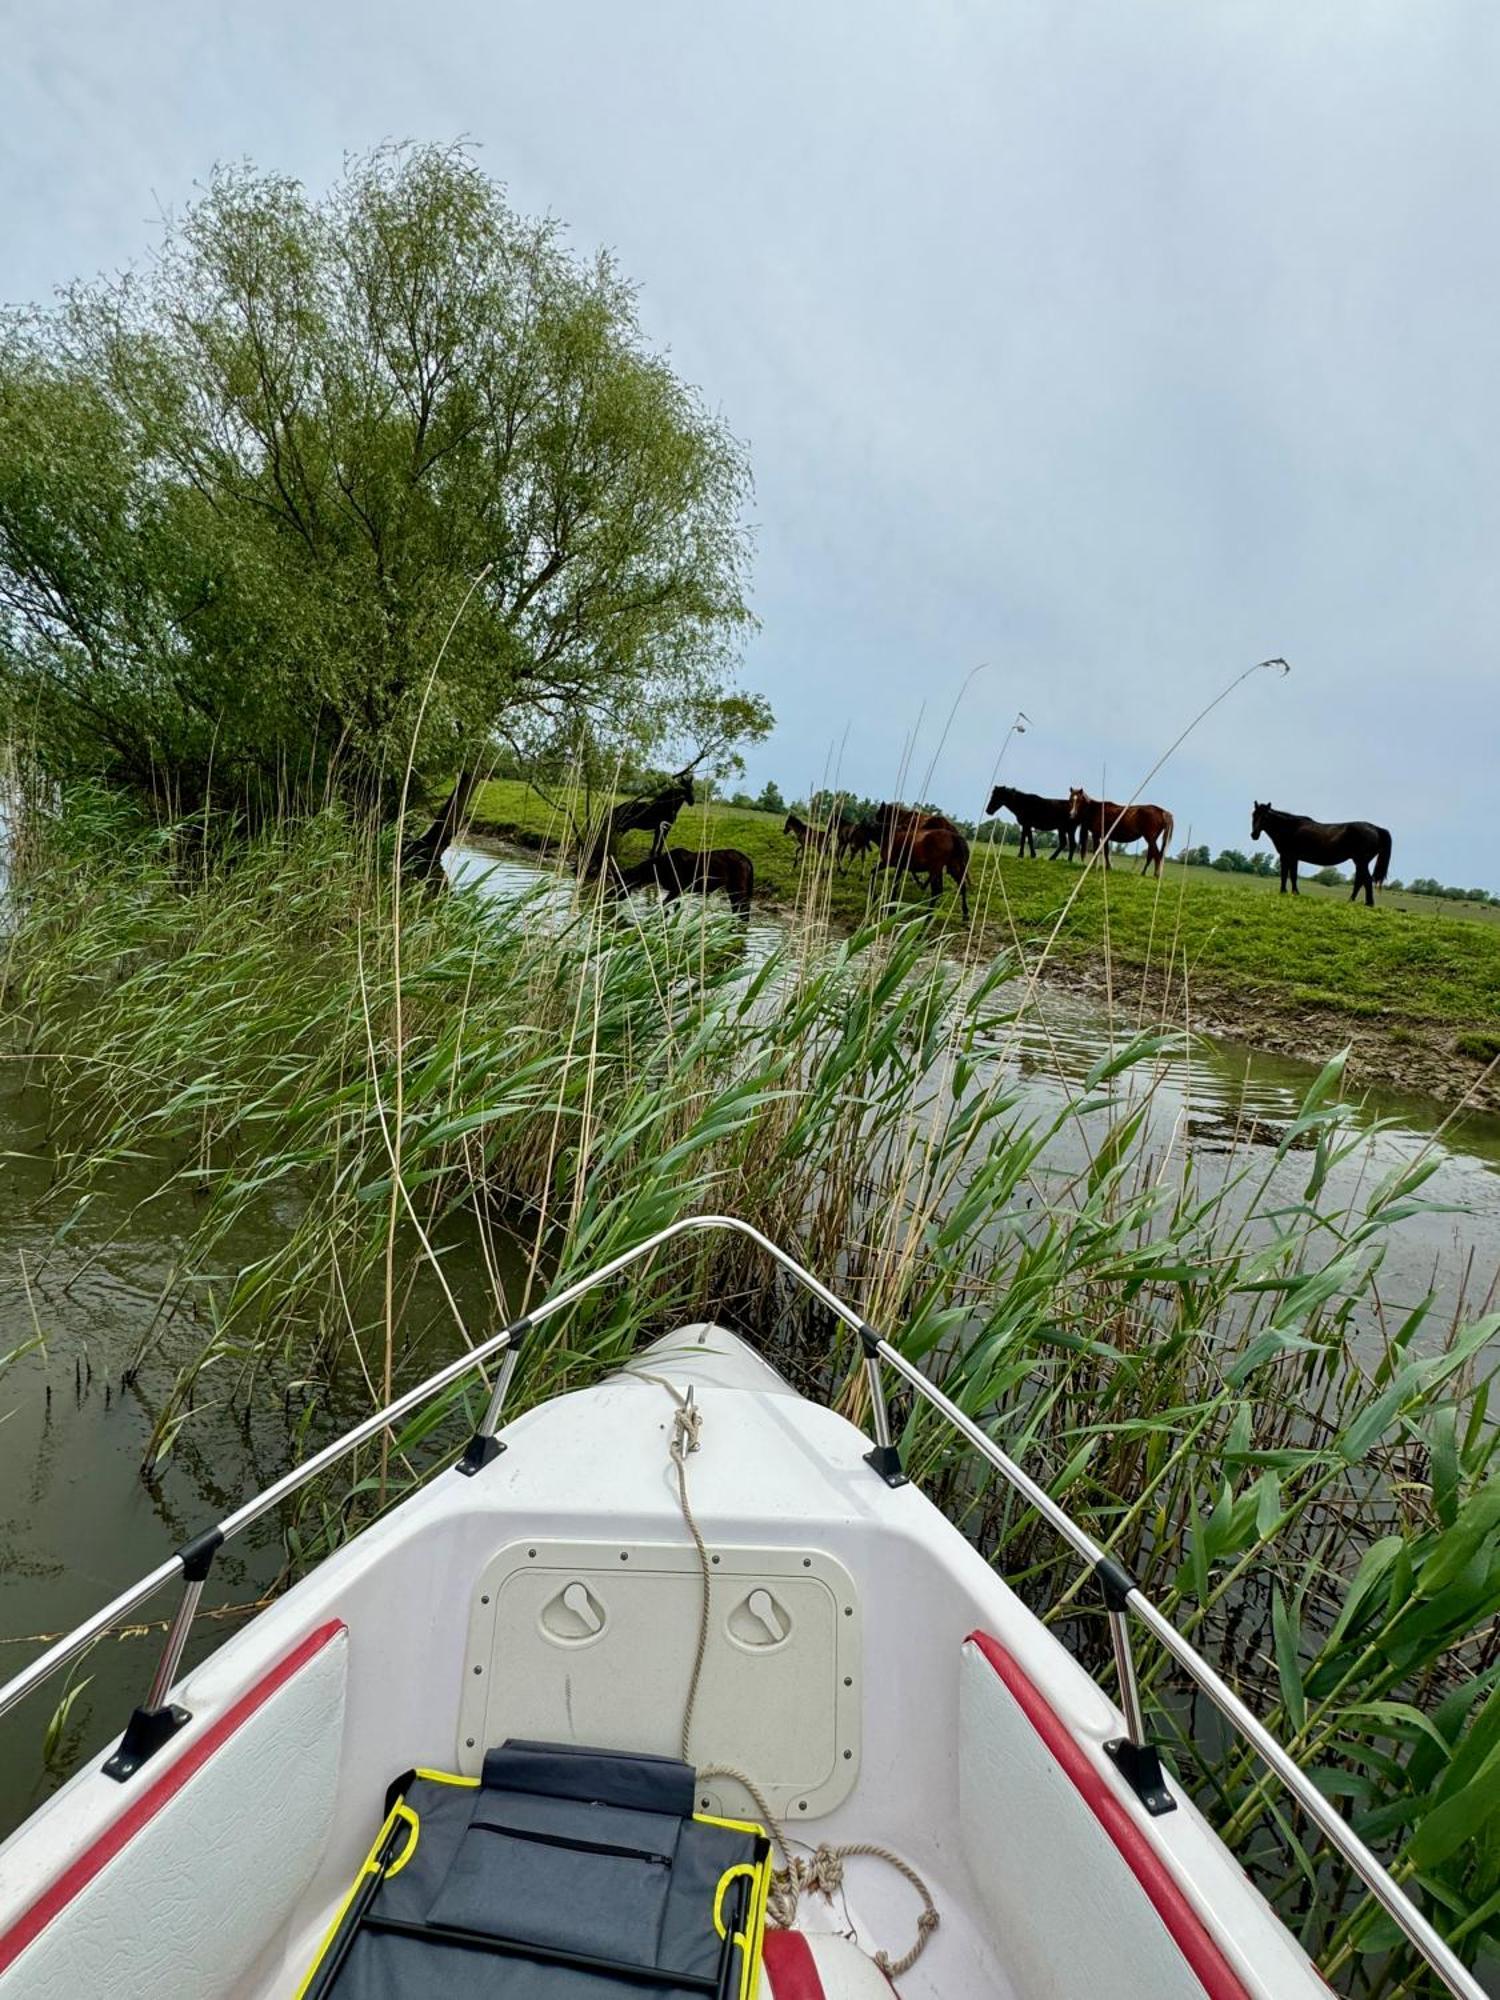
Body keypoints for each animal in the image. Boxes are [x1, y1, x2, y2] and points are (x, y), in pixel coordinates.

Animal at [612, 840, 756, 916]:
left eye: (618, 884)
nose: (612, 898)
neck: (656, 870)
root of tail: (748, 860)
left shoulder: (677, 888)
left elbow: (663, 905)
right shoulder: (679, 891)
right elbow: (675, 908)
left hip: (737, 887)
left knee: (744, 908)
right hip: (733, 888)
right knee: (739, 908)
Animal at [1248, 804, 1392, 916]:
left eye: (1265, 817)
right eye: (1253, 815)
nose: (1254, 835)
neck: (1289, 827)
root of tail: (1376, 829)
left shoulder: (1287, 856)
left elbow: (1285, 874)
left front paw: (1284, 892)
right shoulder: (1293, 857)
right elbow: (1293, 875)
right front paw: (1294, 893)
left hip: (1361, 861)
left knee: (1366, 880)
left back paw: (1368, 903)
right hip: (1359, 862)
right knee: (1360, 881)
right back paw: (1351, 901)